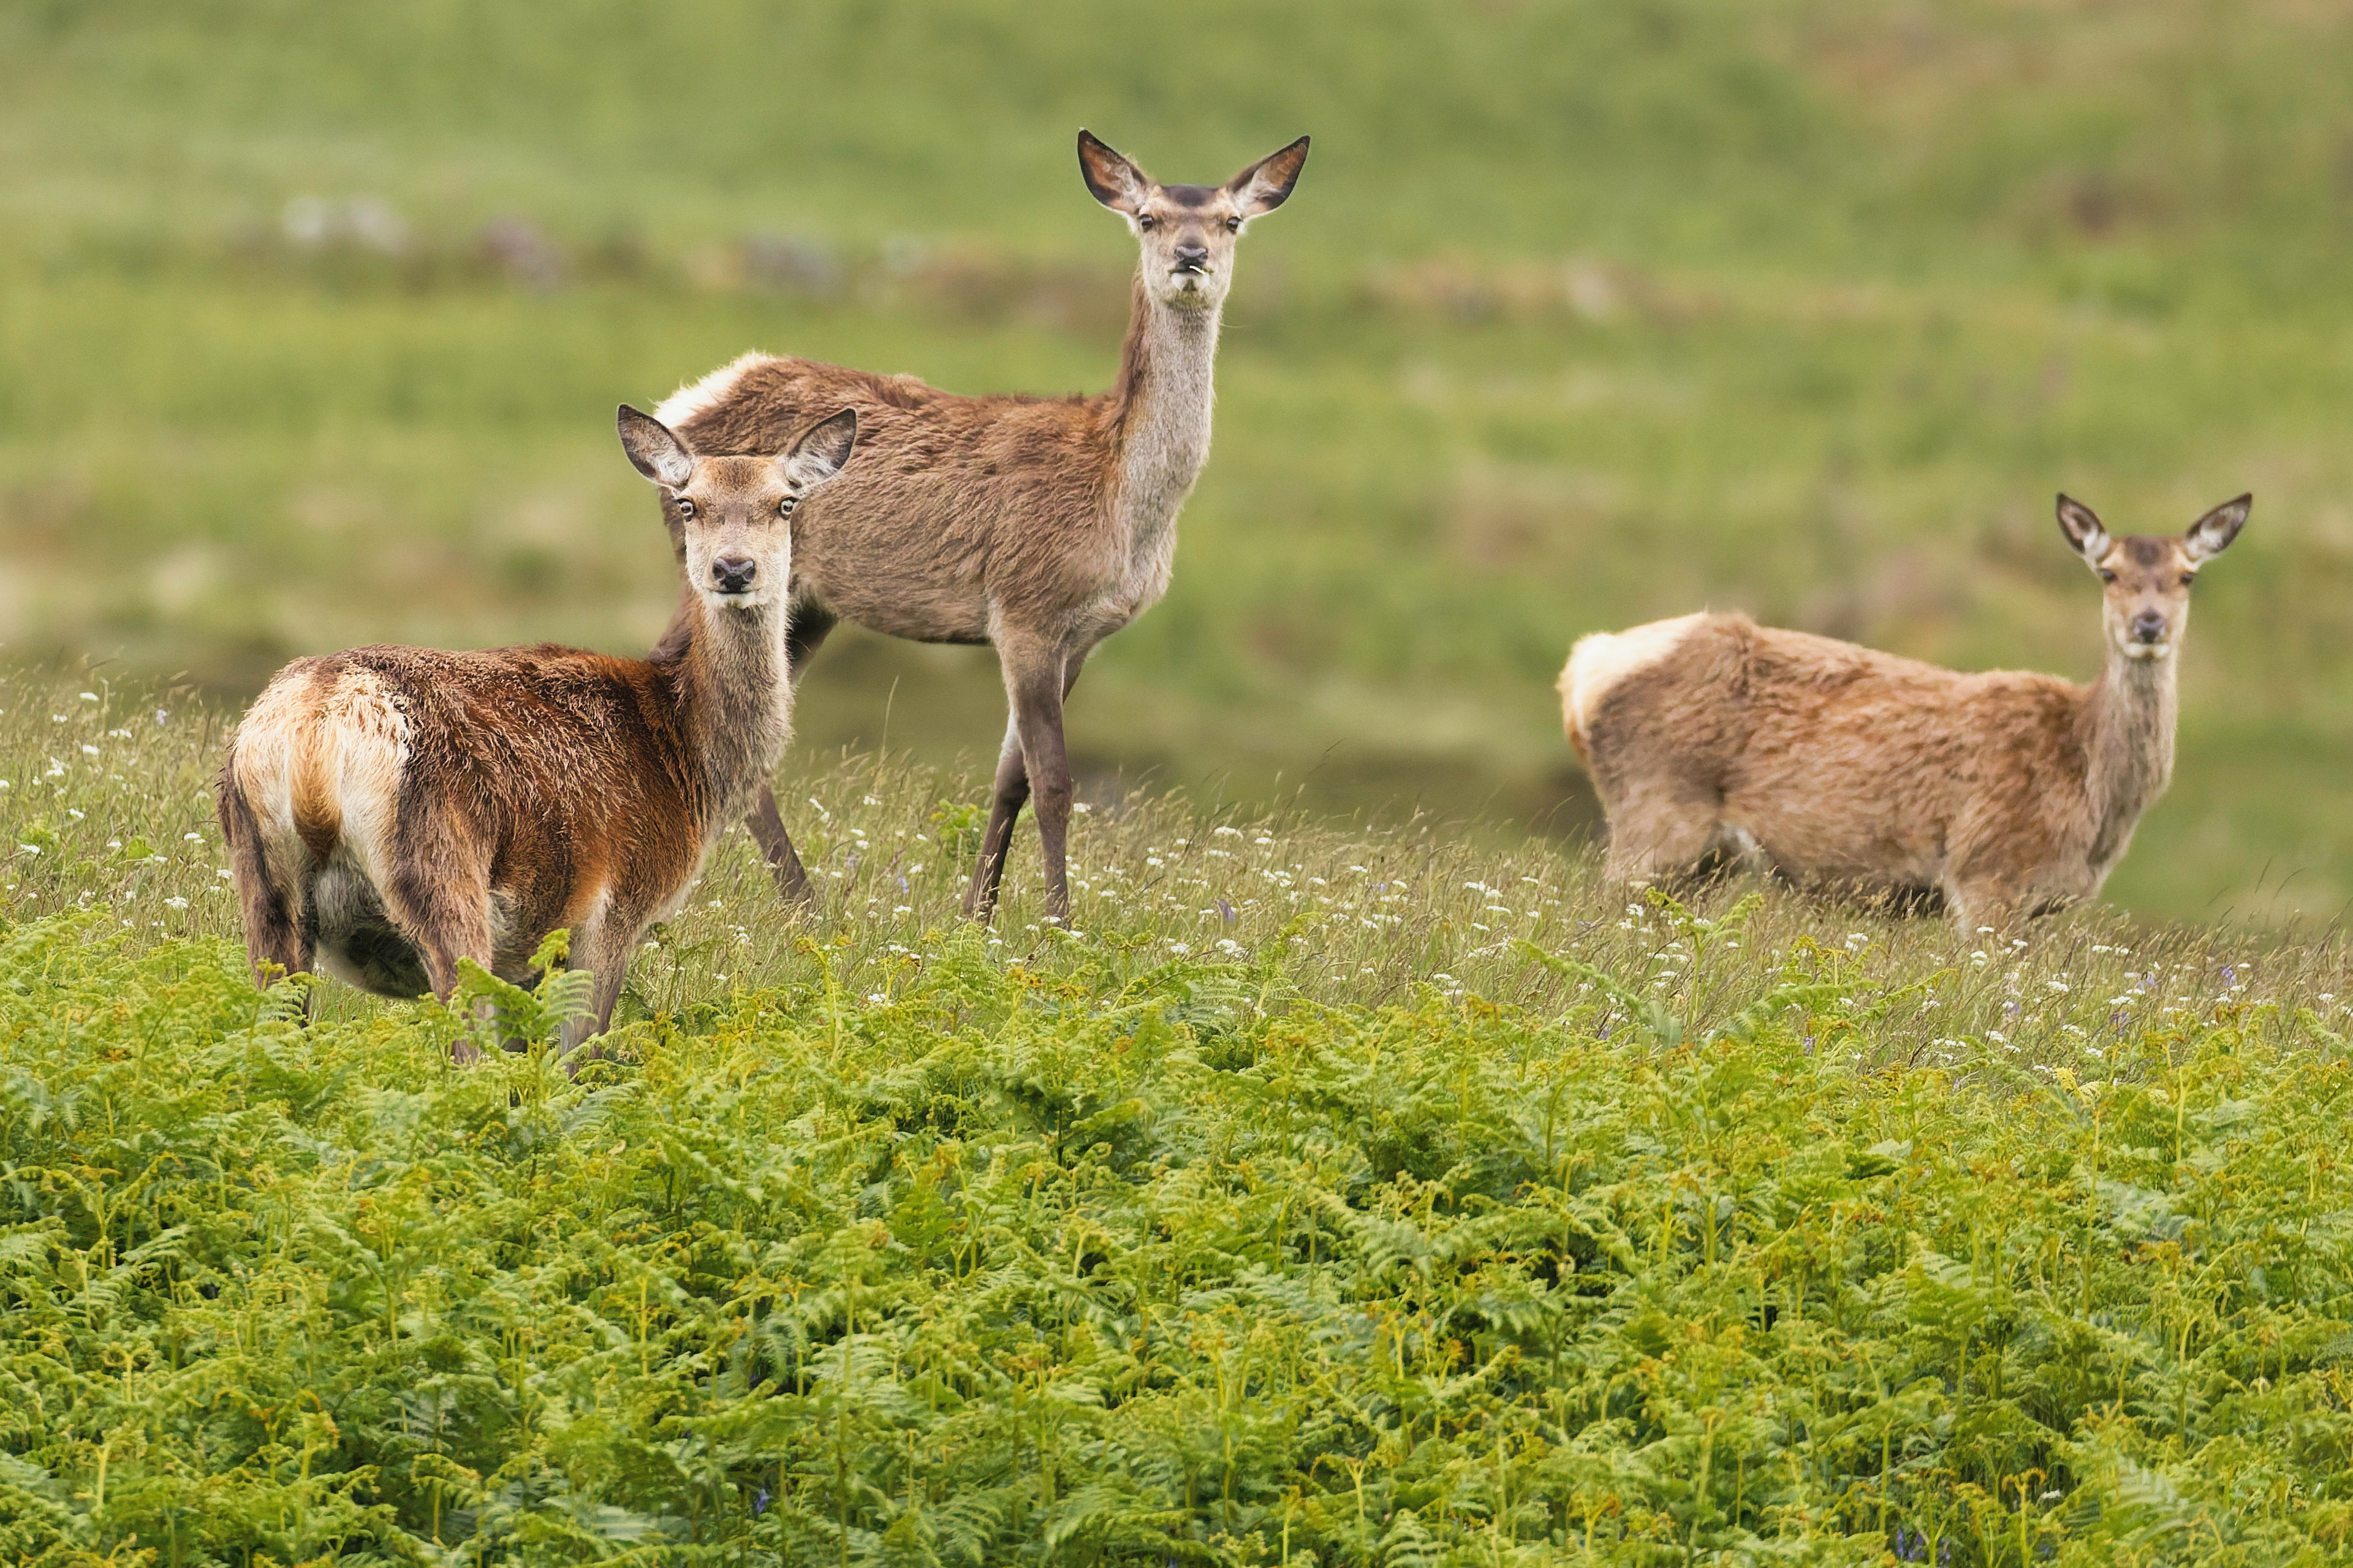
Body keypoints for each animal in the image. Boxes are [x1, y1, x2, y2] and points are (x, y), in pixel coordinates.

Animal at [215, 404, 858, 1052]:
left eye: (785, 502)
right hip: (443, 867)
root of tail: (317, 723)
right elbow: (580, 1056)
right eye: (688, 504)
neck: (686, 755)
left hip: (260, 878)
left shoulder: (527, 960)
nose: (734, 569)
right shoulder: (616, 909)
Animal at [649, 128, 1310, 926]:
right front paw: (1059, 924)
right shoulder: (1026, 608)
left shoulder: (1082, 634)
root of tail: (686, 402)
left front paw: (979, 917)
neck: (1125, 503)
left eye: (1230, 221)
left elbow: (1012, 779)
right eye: (1147, 216)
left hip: (804, 601)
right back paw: (797, 900)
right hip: (716, 566)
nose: (1191, 255)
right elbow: (1056, 782)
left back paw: (803, 902)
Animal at [1559, 493, 2251, 930]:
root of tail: (1585, 667)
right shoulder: (1986, 871)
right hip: (1654, 810)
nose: (2149, 625)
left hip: (1703, 857)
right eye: (2107, 572)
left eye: (2188, 575)